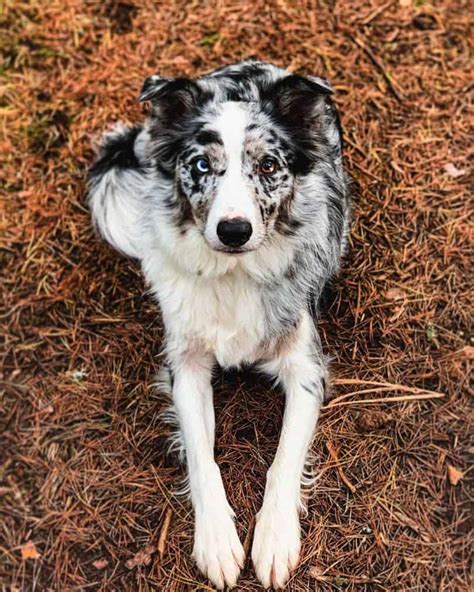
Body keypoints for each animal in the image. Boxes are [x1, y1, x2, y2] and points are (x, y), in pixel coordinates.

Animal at [89, 61, 350, 592]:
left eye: (268, 166)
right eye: (201, 166)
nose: (234, 230)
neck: (234, 274)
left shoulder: (306, 366)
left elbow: (283, 459)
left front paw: (274, 539)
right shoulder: (185, 365)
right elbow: (201, 456)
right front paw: (216, 543)